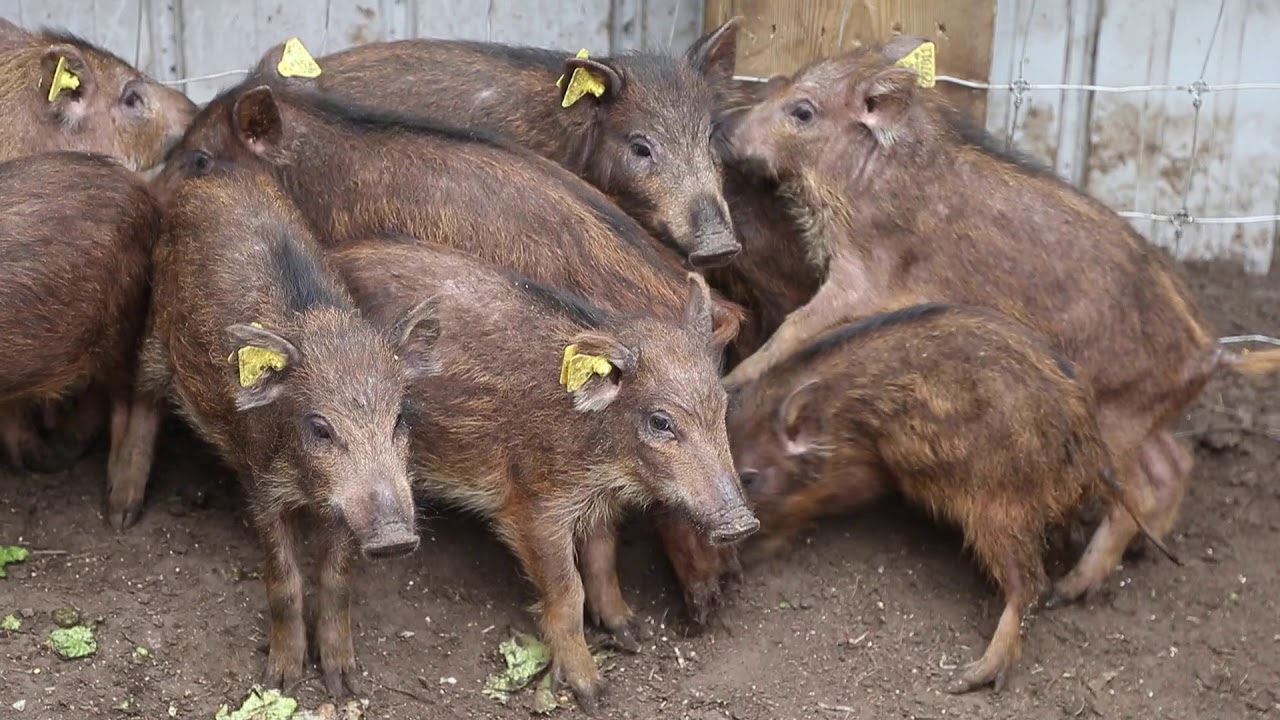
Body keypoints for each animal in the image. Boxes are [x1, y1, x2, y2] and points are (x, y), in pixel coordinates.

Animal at [105, 169, 440, 695]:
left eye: (400, 418)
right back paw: (122, 513)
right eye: (320, 428)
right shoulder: (259, 484)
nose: (394, 537)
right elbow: (284, 582)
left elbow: (337, 581)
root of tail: (213, 178)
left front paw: (345, 683)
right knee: (142, 399)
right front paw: (280, 682)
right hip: (157, 328)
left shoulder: (342, 507)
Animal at [329, 238, 757, 714]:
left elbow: (603, 560)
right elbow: (568, 595)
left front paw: (631, 635)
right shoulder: (533, 510)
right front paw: (594, 694)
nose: (743, 523)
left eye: (721, 404)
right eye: (661, 422)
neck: (599, 445)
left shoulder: (598, 505)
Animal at [715, 36, 1259, 606]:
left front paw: (735, 377)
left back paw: (1072, 587)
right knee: (1177, 463)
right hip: (1146, 417)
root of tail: (1211, 352)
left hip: (1120, 418)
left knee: (1141, 487)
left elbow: (795, 325)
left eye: (802, 111)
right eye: (781, 85)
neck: (870, 176)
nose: (724, 130)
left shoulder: (865, 279)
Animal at [727, 302, 1177, 693]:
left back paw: (971, 676)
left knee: (1031, 586)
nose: (730, 560)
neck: (833, 415)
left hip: (999, 510)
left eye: (749, 478)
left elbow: (810, 506)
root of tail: (1090, 449)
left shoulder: (863, 471)